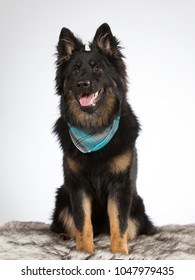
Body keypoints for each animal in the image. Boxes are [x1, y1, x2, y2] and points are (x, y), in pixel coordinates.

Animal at [51, 23, 156, 255]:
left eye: (97, 68)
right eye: (75, 70)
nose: (82, 84)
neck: (95, 128)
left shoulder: (120, 185)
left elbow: (119, 222)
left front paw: (119, 253)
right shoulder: (77, 185)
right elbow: (82, 222)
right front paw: (84, 251)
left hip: (137, 205)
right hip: (62, 197)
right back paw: (64, 237)